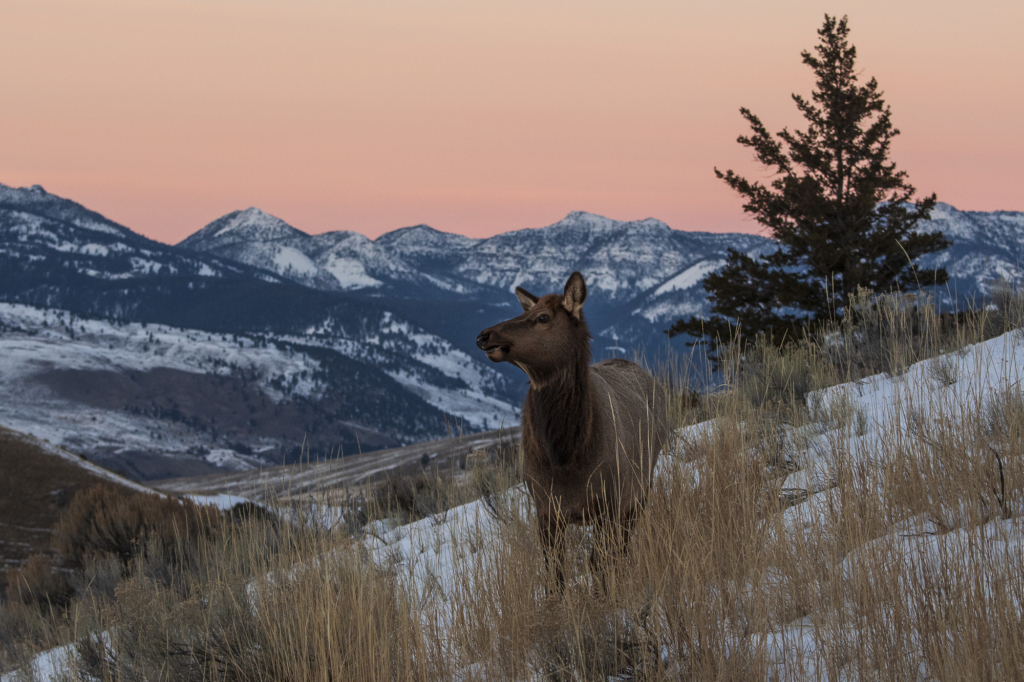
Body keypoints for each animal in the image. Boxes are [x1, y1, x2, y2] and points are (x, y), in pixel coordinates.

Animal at [475, 268, 667, 585]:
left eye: (542, 317)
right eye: (526, 311)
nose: (484, 335)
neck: (566, 455)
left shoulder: (611, 504)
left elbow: (600, 564)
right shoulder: (545, 509)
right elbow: (555, 576)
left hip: (641, 489)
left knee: (624, 545)